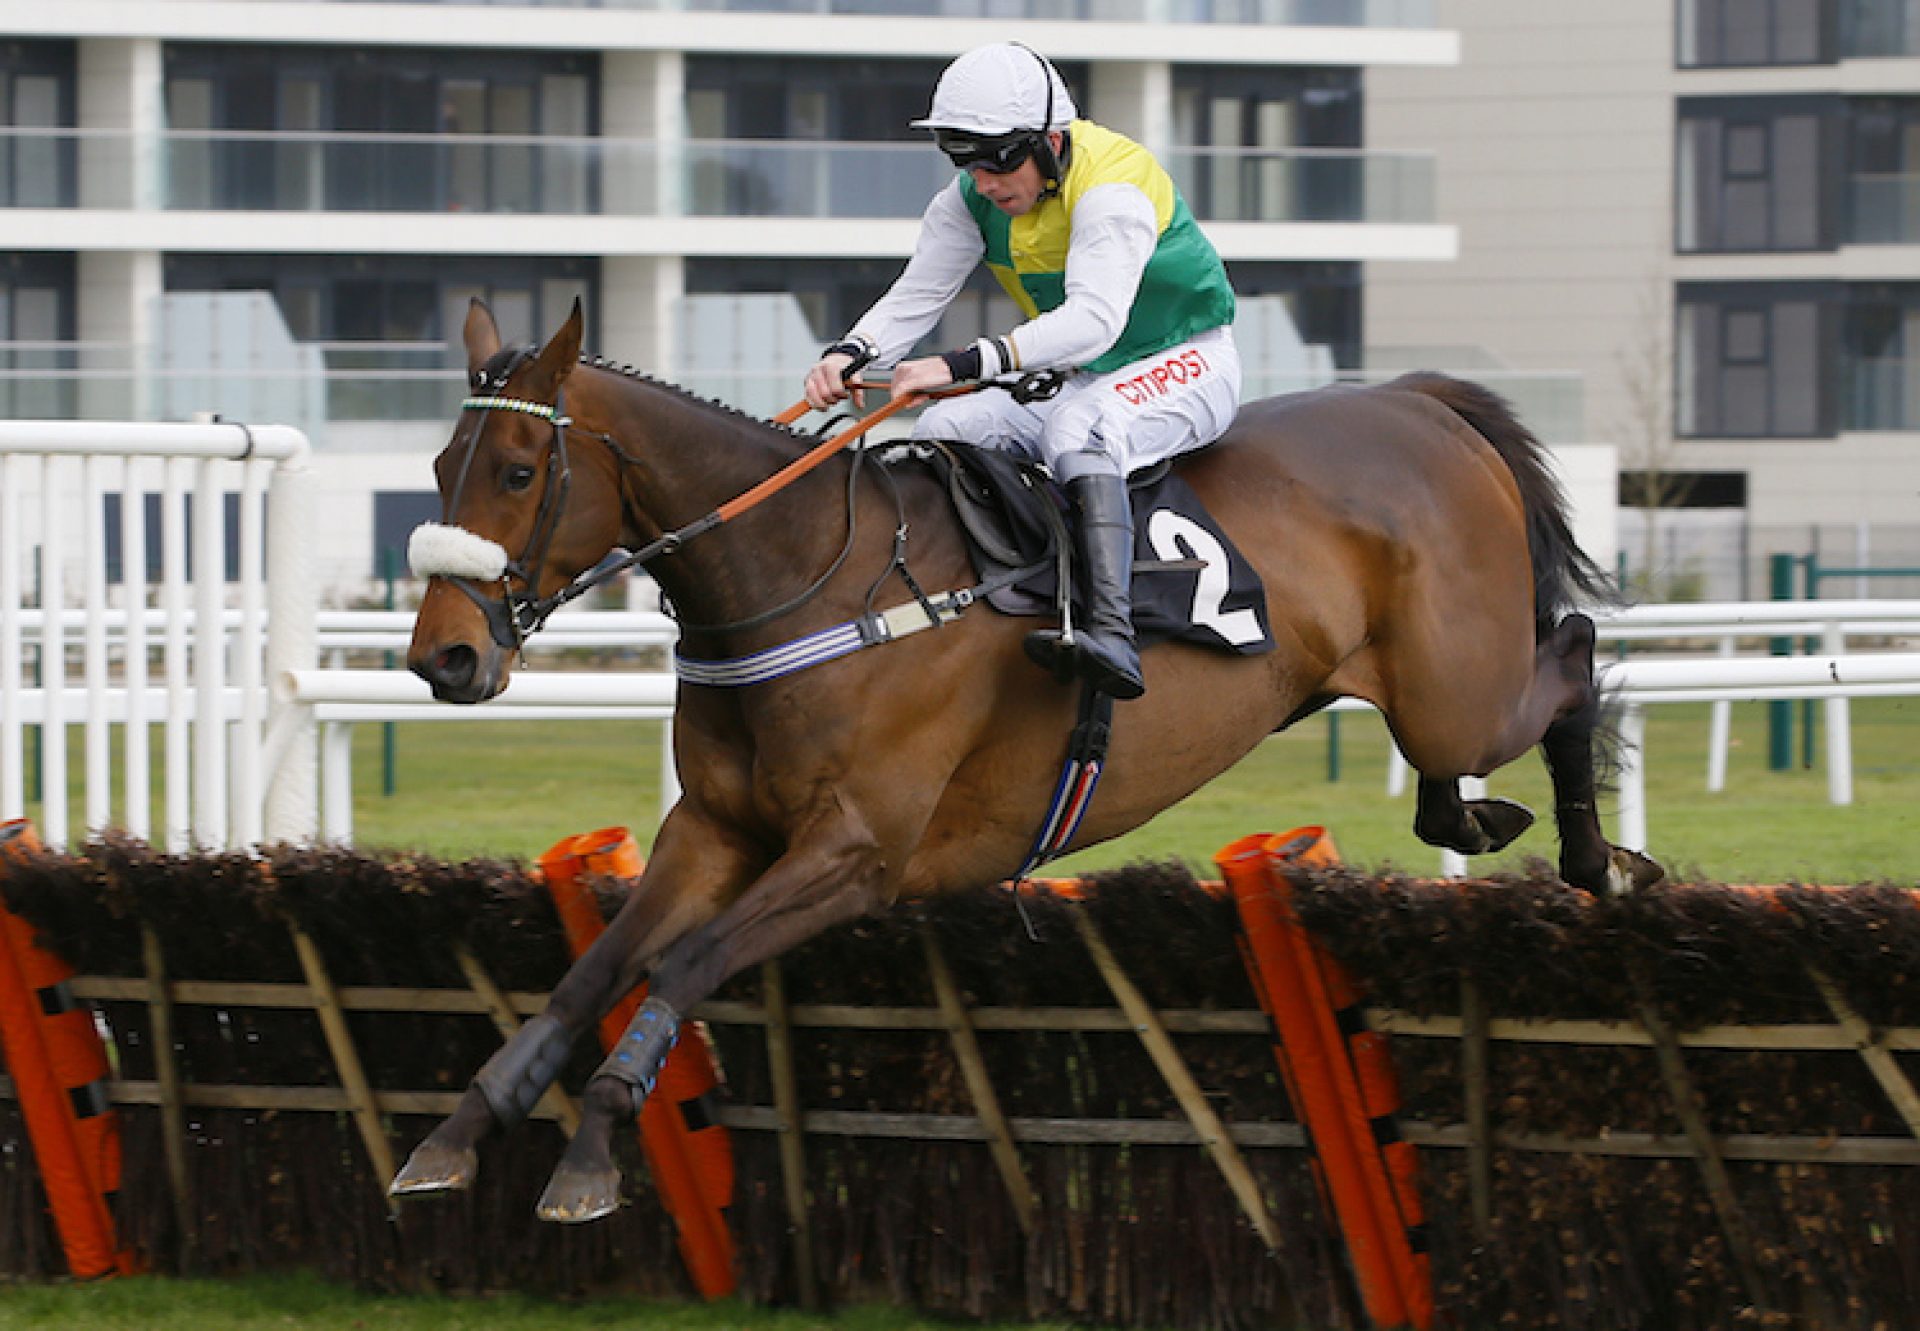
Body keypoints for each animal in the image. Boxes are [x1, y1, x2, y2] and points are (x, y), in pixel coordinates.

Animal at [393, 295, 1666, 1221]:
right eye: (441, 464)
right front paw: (457, 1133)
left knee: (1570, 654)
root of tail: (1416, 401)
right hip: (1418, 685)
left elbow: (686, 962)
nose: (444, 658)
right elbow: (595, 969)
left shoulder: (858, 852)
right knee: (1482, 738)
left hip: (1461, 689)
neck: (803, 573)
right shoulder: (712, 828)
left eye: (517, 469)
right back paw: (1476, 819)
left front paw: (590, 1152)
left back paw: (1600, 861)